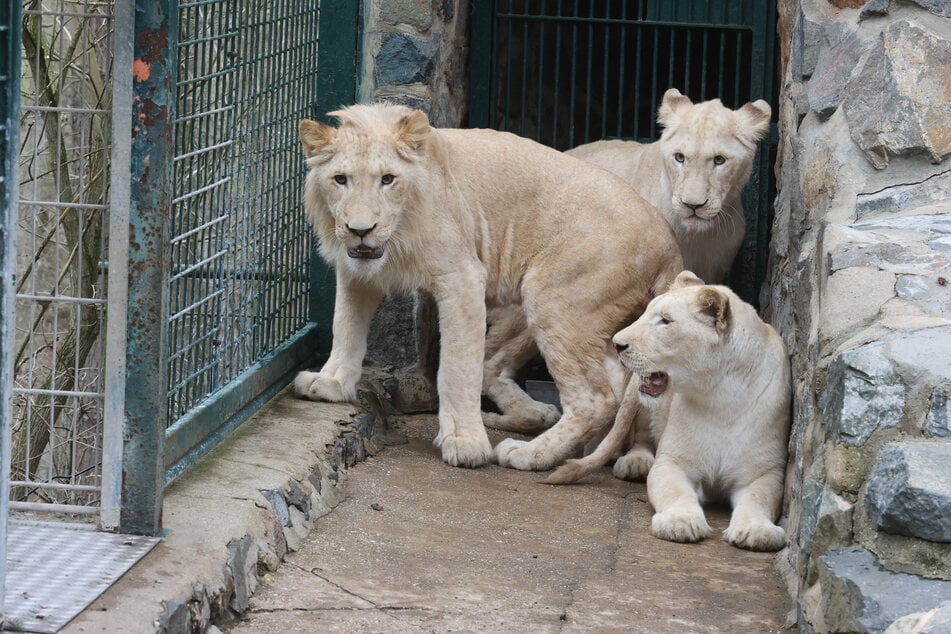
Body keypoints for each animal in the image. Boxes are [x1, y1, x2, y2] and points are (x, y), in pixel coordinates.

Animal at [294, 103, 680, 470]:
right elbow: (346, 326)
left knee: (594, 399)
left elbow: (457, 367)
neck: (400, 232)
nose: (361, 229)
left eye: (387, 179)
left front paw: (464, 442)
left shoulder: (462, 278)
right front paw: (331, 382)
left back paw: (530, 454)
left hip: (554, 298)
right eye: (340, 179)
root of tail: (669, 241)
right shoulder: (358, 269)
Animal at [548, 270, 792, 552]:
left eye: (665, 321)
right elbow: (675, 491)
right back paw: (635, 463)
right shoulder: (671, 462)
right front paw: (680, 522)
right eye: (646, 313)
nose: (617, 344)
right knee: (641, 437)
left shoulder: (765, 472)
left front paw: (756, 531)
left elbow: (757, 498)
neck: (720, 397)